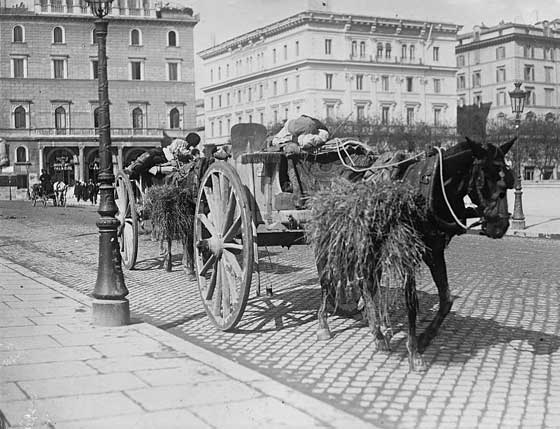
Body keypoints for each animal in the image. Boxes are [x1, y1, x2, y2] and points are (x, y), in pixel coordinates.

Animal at [318, 138, 520, 372]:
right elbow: (411, 303)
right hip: (336, 241)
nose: (500, 226)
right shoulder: (408, 254)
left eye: (508, 180)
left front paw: (424, 338)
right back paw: (328, 323)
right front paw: (413, 351)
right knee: (329, 277)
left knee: (367, 284)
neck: (432, 190)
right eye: (482, 179)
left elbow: (446, 300)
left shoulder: (435, 251)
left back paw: (378, 328)